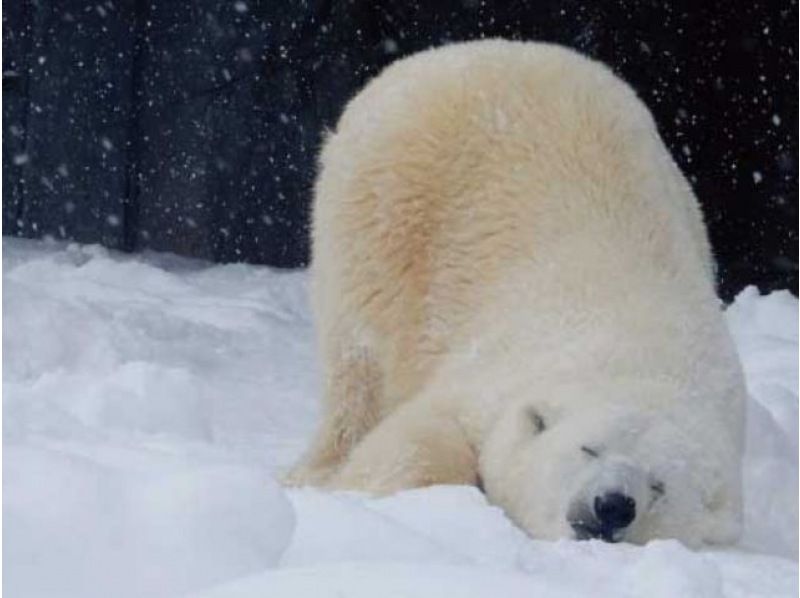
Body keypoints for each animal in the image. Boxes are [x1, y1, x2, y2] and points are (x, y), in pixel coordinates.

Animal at [286, 38, 744, 548]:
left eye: (659, 485)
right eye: (588, 448)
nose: (612, 504)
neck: (642, 356)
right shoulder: (496, 374)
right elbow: (427, 434)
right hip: (382, 210)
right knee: (358, 362)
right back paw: (316, 469)